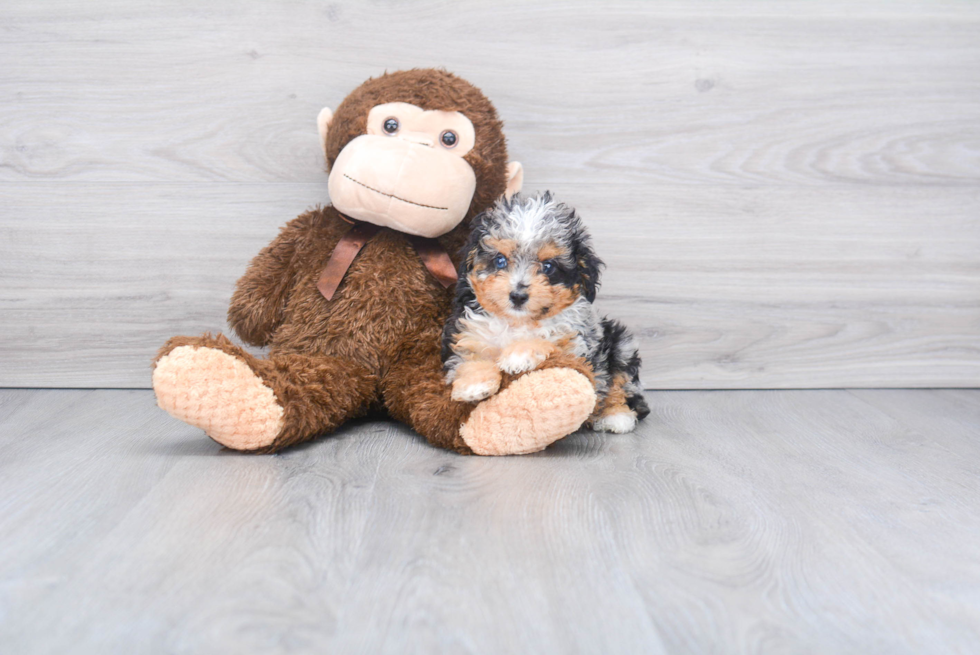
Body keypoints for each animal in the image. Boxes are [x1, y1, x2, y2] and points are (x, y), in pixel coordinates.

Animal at [440, 192, 648, 434]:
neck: (516, 321)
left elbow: (547, 337)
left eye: (548, 266)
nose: (518, 296)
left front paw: (517, 356)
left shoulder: (575, 339)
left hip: (621, 344)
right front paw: (474, 385)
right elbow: (469, 354)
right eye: (500, 260)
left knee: (621, 382)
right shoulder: (469, 329)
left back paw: (616, 416)